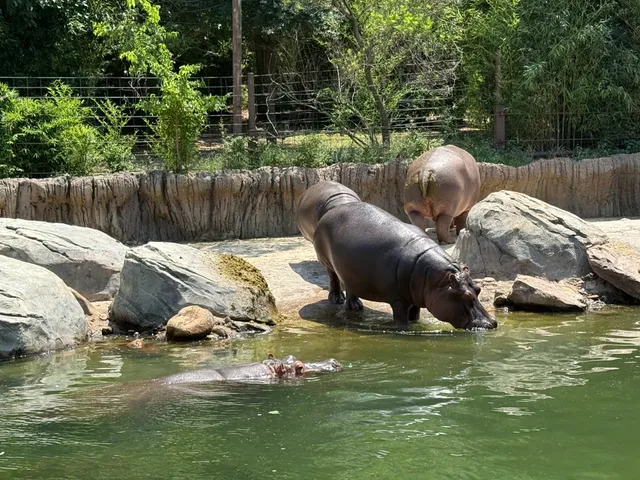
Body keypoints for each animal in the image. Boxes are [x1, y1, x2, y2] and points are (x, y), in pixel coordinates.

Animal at [310, 200, 496, 330]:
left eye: (478, 289)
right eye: (465, 296)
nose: (492, 323)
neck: (435, 280)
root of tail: (330, 212)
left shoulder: (418, 297)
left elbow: (415, 315)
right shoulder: (398, 299)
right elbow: (401, 321)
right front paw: (403, 330)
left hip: (350, 270)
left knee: (350, 286)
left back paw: (356, 307)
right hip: (326, 260)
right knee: (333, 277)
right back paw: (336, 299)